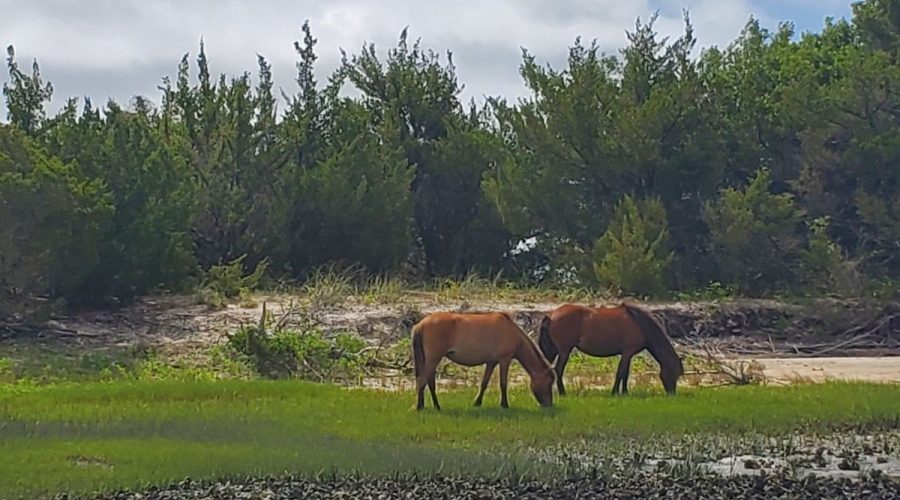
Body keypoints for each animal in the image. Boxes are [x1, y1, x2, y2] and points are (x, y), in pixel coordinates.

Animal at [411, 311, 555, 410]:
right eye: (549, 382)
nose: (549, 405)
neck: (511, 331)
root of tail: (420, 325)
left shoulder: (491, 362)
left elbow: (484, 383)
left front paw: (477, 403)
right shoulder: (505, 360)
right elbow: (503, 383)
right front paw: (504, 405)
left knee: (428, 382)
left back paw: (434, 406)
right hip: (433, 359)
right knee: (422, 380)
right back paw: (420, 406)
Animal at [538, 303, 684, 396]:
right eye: (674, 373)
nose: (672, 394)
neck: (640, 325)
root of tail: (552, 315)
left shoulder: (628, 354)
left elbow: (626, 374)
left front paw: (624, 393)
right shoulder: (627, 352)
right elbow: (621, 372)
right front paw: (615, 392)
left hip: (555, 351)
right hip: (564, 351)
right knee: (558, 370)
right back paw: (563, 393)